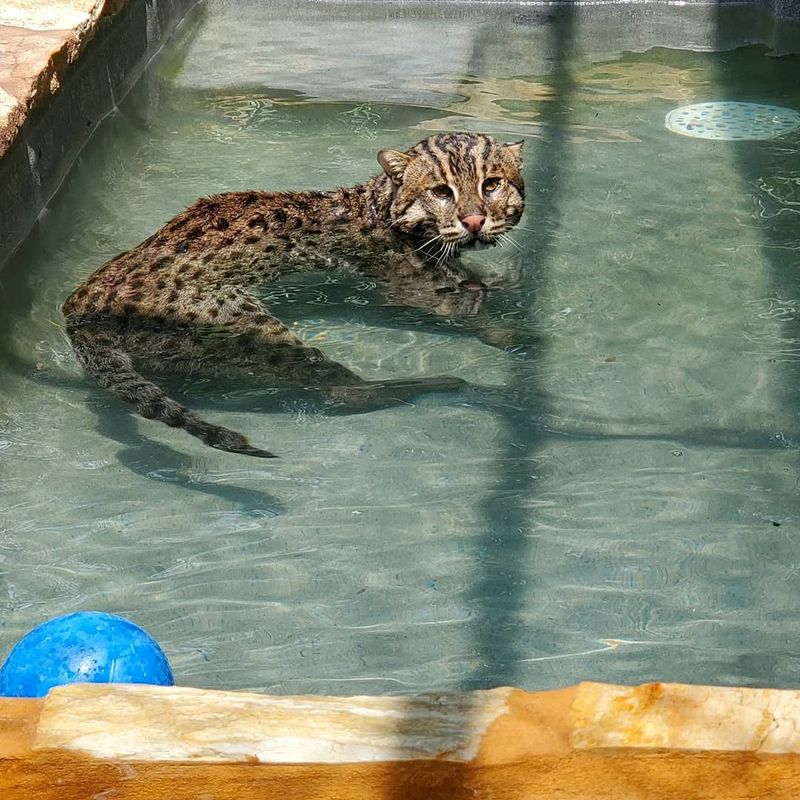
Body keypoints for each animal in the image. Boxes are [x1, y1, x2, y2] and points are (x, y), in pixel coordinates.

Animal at [62, 132, 524, 456]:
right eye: (442, 191)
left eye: (492, 185)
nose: (474, 220)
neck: (379, 202)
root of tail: (77, 311)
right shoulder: (410, 284)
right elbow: (466, 306)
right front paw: (509, 330)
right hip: (246, 325)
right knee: (344, 392)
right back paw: (442, 384)